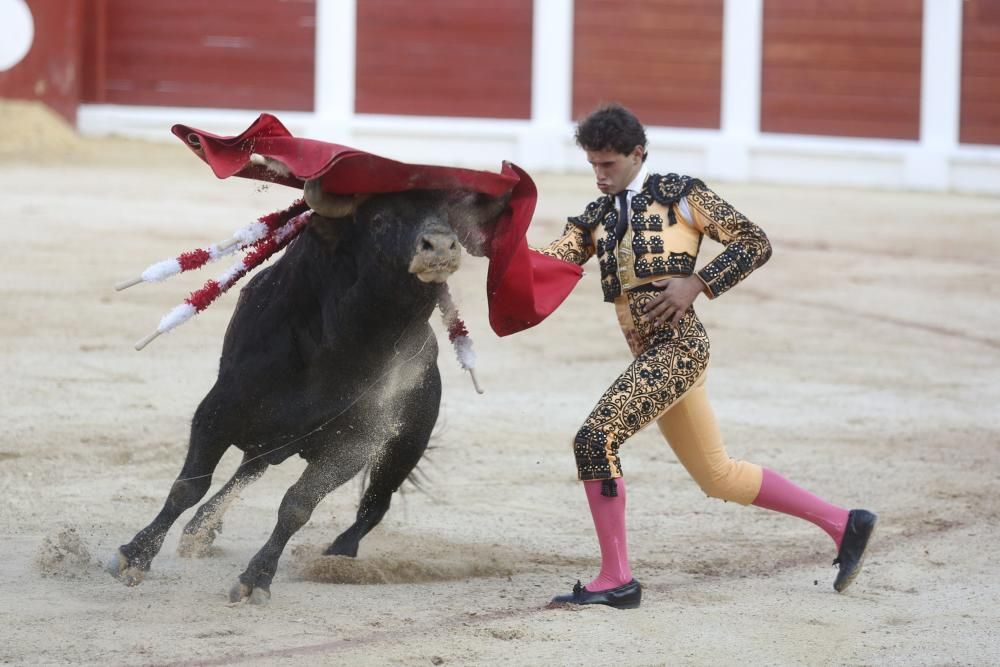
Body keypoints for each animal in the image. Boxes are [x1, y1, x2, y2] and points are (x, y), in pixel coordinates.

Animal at [109, 179, 508, 604]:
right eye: (380, 219)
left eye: (453, 219)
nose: (440, 246)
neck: (337, 346)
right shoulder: (217, 410)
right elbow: (189, 485)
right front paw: (135, 555)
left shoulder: (353, 445)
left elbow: (297, 505)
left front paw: (256, 579)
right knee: (247, 471)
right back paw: (200, 529)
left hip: (404, 447)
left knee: (375, 504)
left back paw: (338, 555)